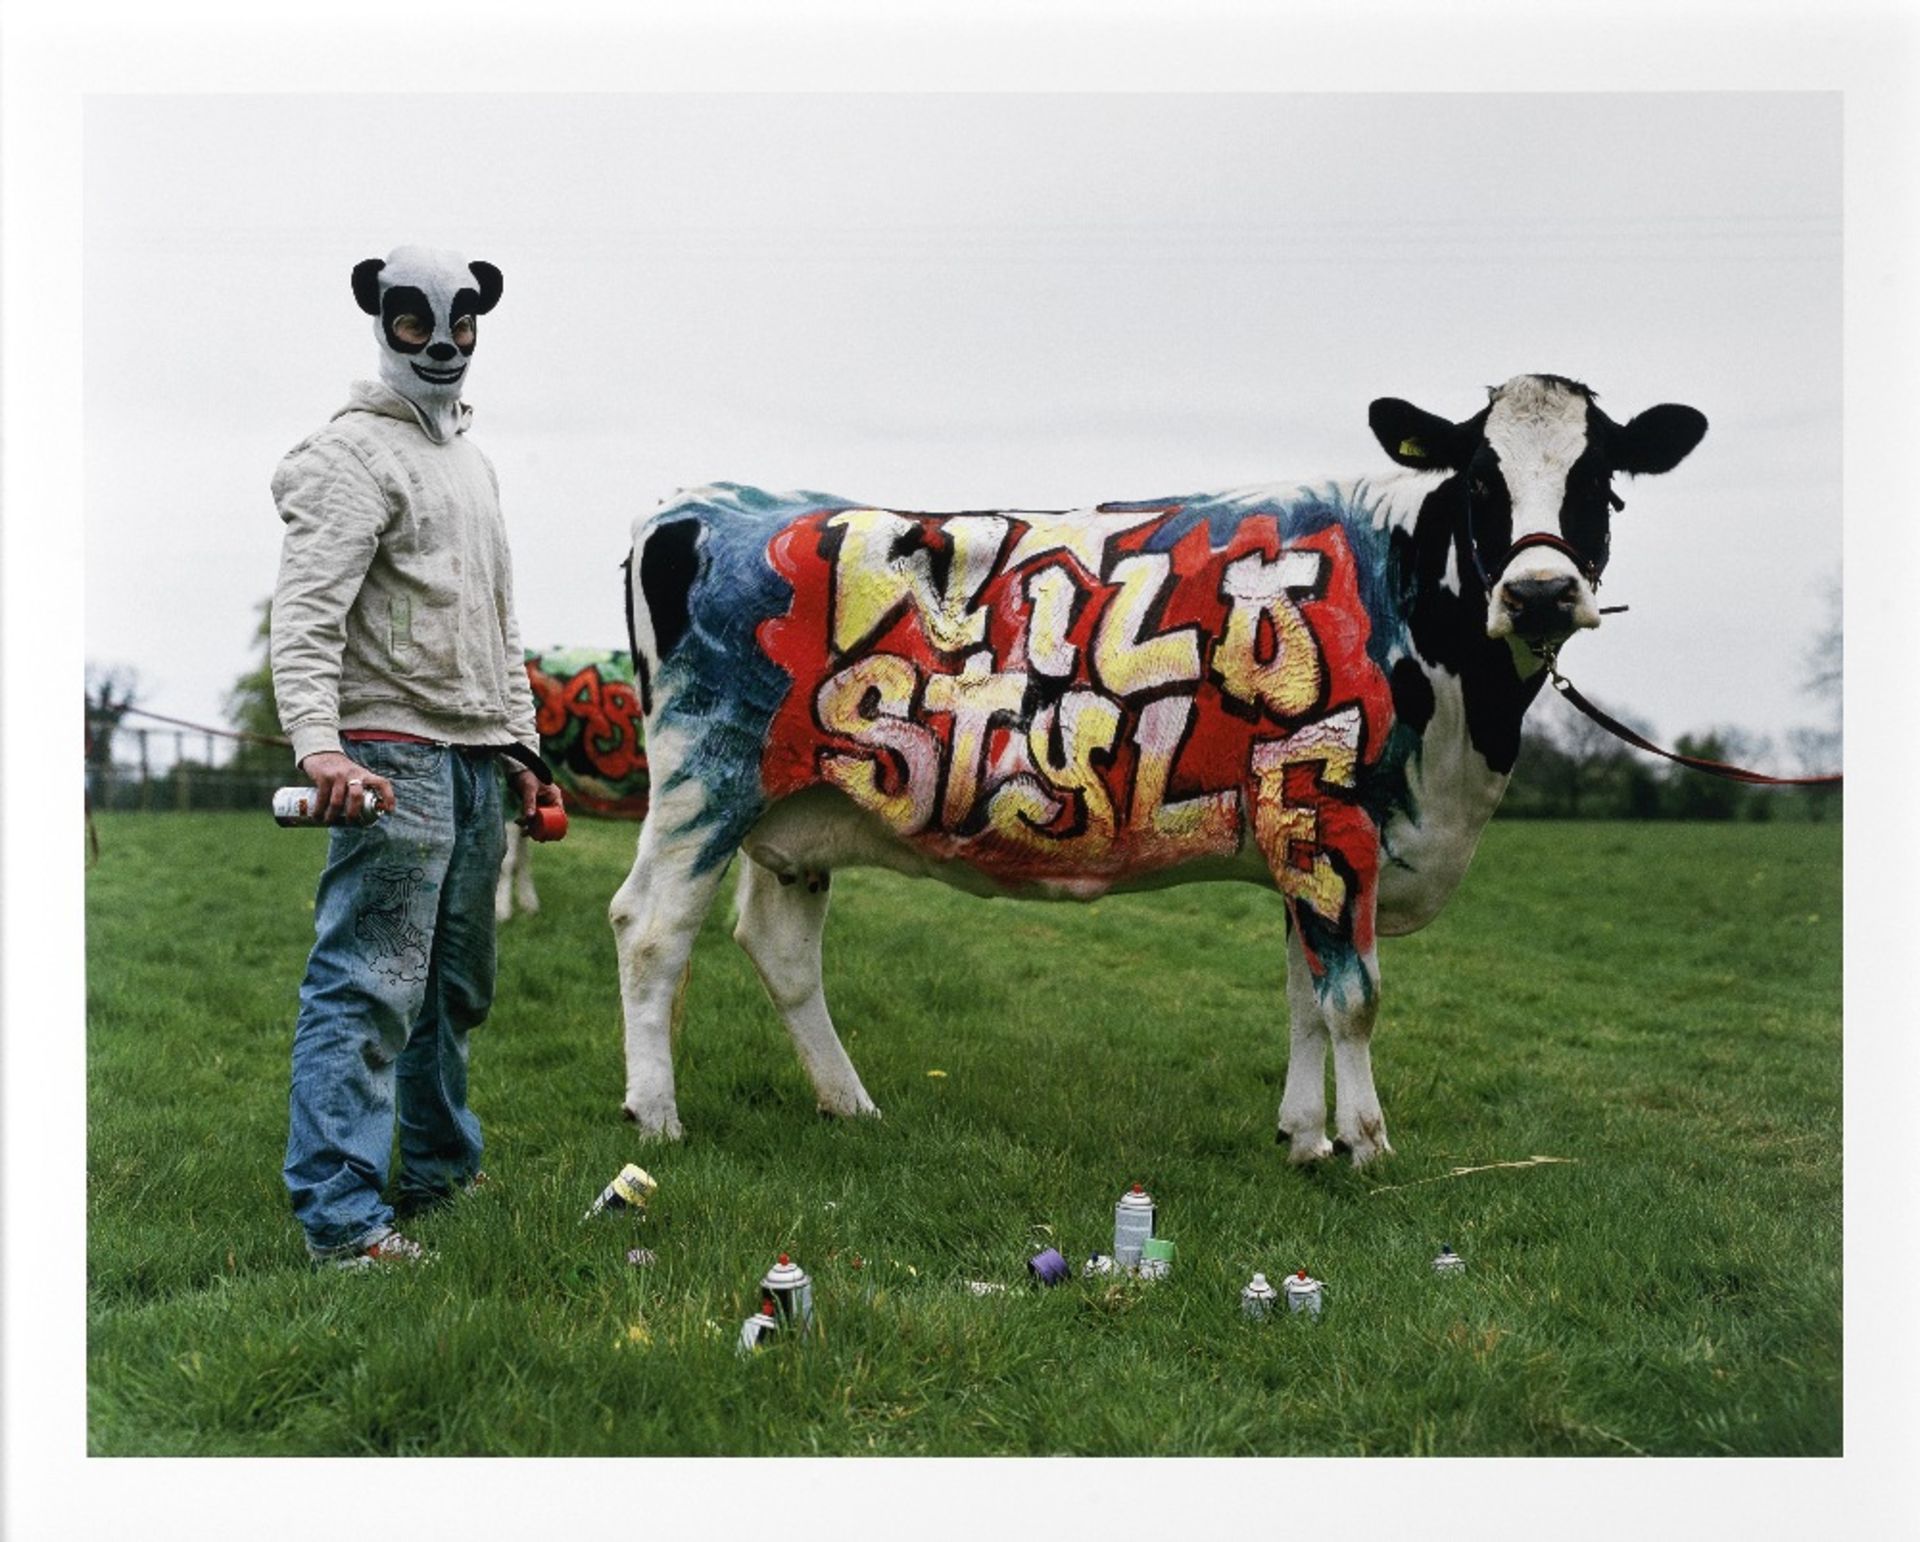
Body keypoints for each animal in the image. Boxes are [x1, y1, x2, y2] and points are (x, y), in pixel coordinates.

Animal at [606, 376, 1704, 1167]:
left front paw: (1304, 1138)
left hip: (794, 815)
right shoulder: (1334, 808)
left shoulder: (1295, 822)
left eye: (1601, 485)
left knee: (780, 950)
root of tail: (691, 504)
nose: (1541, 592)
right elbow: (1353, 997)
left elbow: (1305, 991)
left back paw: (851, 1105)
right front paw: (1368, 1145)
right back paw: (656, 1117)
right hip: (706, 773)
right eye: (1479, 480)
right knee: (651, 927)